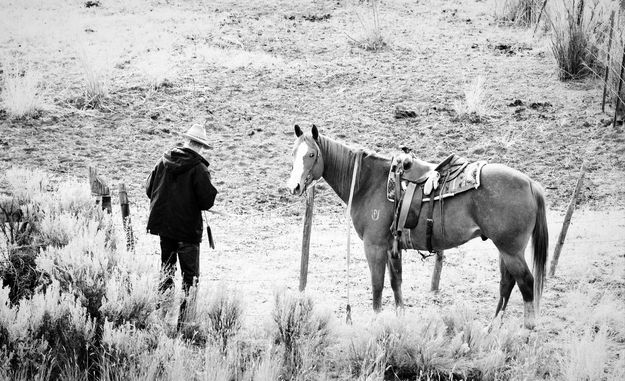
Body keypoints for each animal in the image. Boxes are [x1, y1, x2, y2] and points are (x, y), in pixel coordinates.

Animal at [288, 124, 544, 326]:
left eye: (312, 154)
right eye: (293, 153)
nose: (294, 187)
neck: (368, 182)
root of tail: (530, 183)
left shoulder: (374, 246)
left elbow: (377, 286)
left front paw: (376, 322)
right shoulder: (392, 247)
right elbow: (396, 283)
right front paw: (400, 318)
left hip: (510, 250)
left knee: (526, 282)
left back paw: (526, 329)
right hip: (505, 249)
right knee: (507, 283)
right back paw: (492, 327)